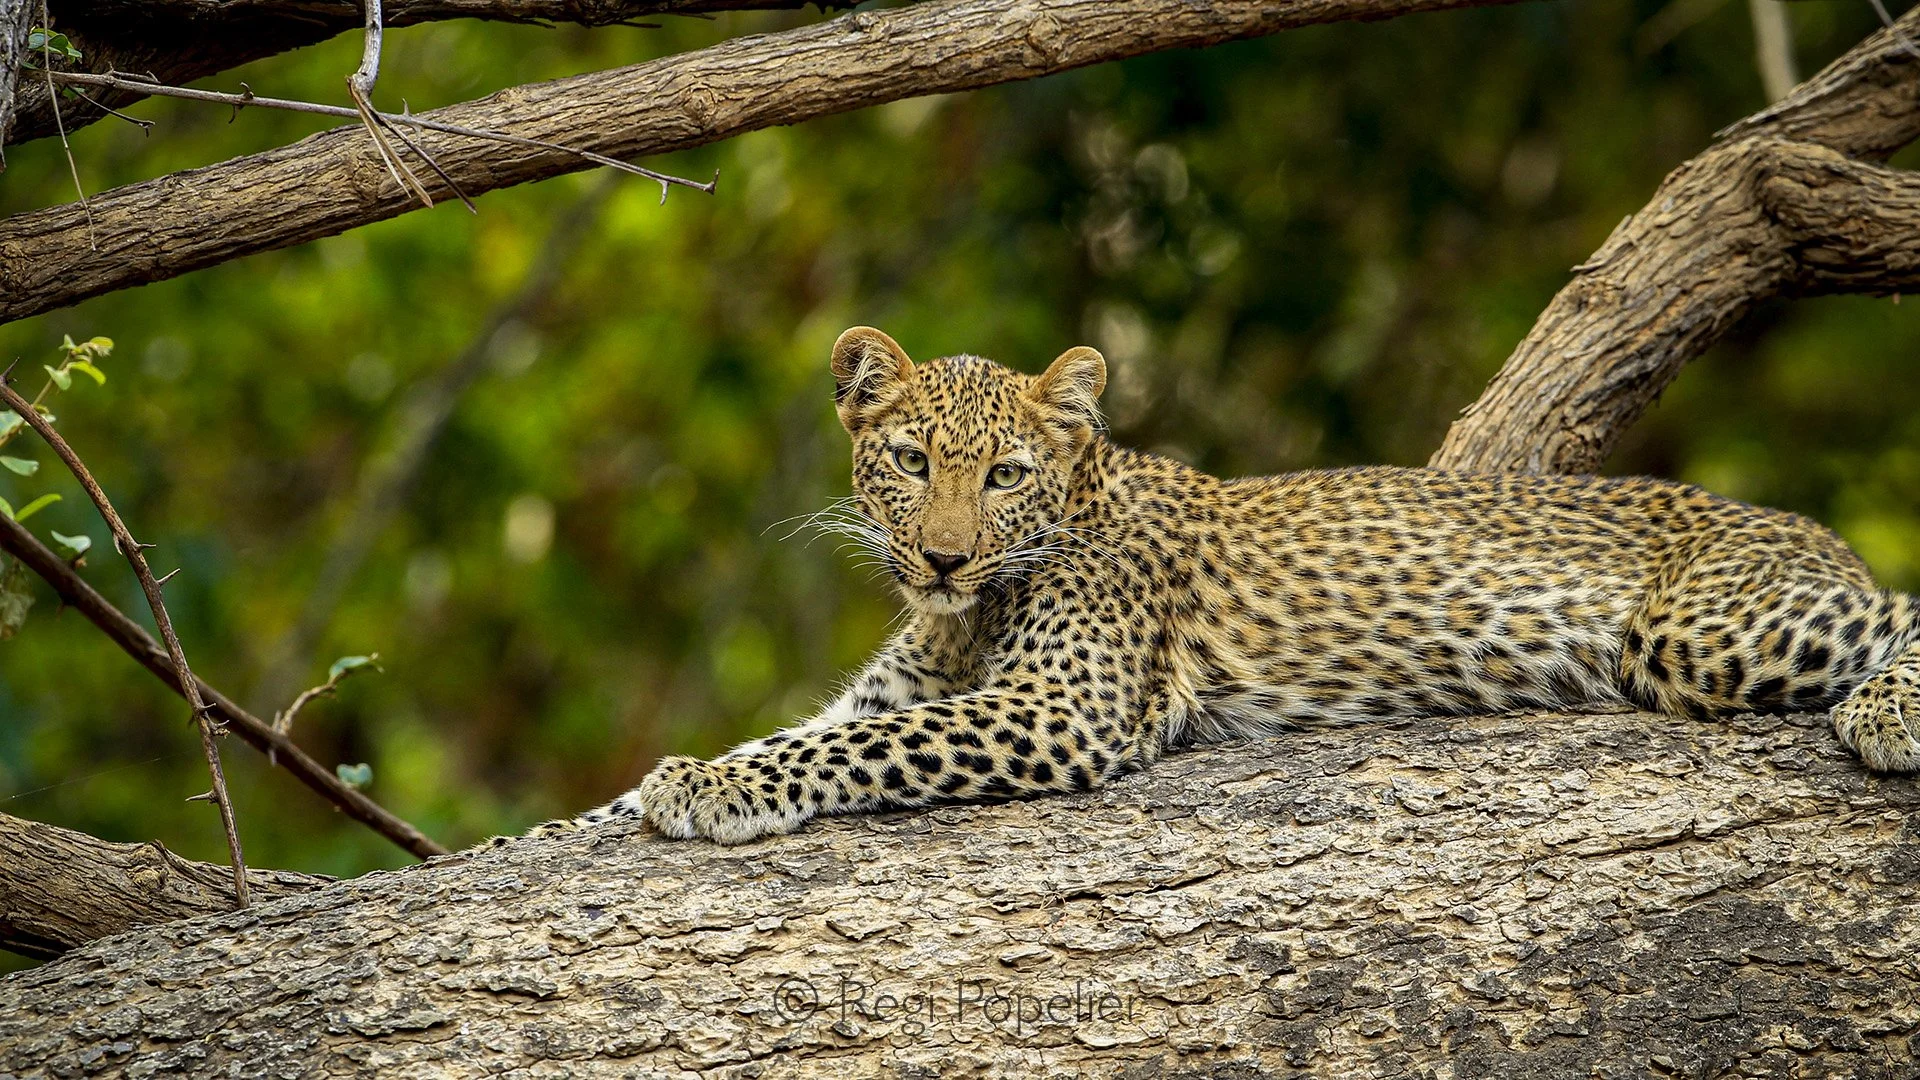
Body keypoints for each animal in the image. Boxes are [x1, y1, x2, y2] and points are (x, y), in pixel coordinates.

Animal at [512, 325, 1920, 846]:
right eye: (910, 463)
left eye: (1006, 473)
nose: (947, 556)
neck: (968, 618)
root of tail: (1798, 524)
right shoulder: (896, 688)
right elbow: (802, 735)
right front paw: (588, 817)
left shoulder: (1059, 709)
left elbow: (838, 752)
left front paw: (705, 791)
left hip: (1701, 623)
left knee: (1895, 613)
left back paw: (1887, 714)